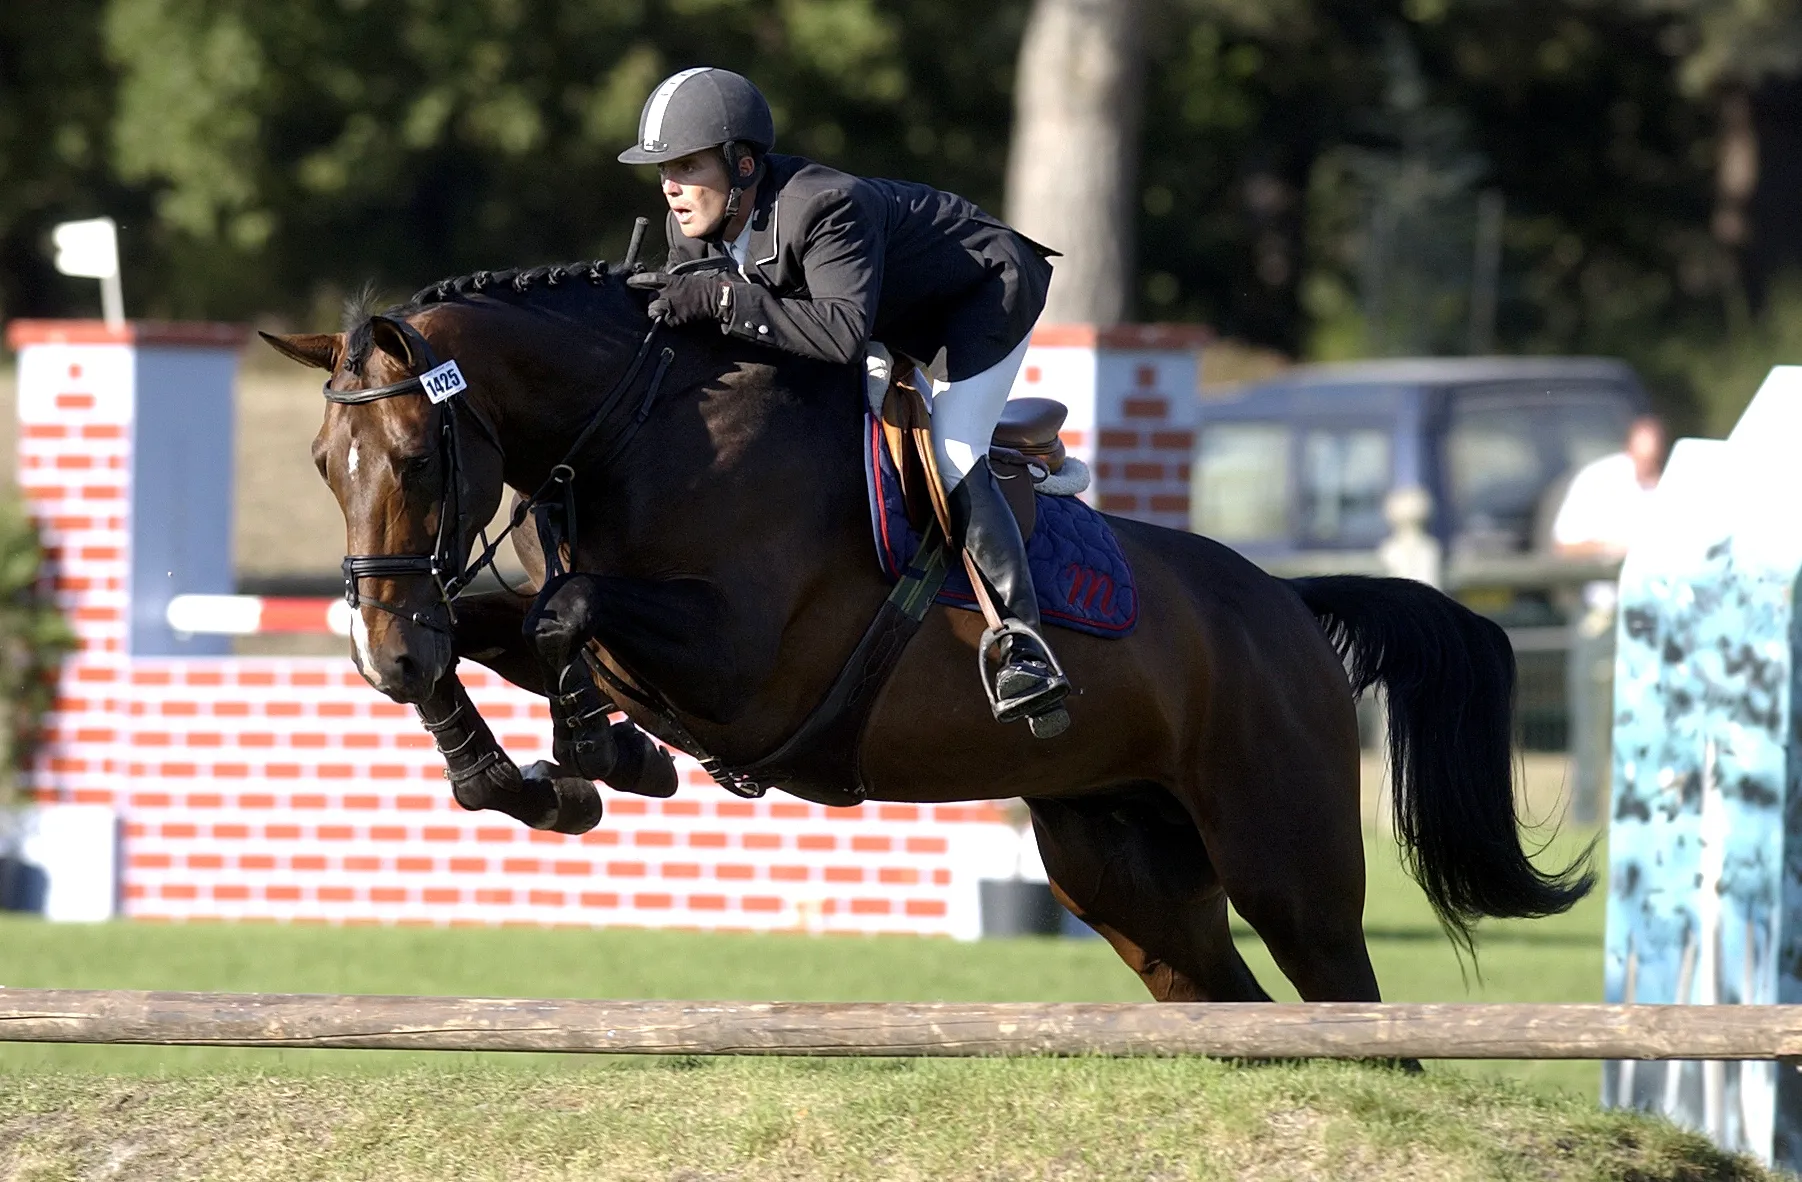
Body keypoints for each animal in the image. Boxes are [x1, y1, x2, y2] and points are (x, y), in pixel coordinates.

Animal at [261, 260, 1591, 1006]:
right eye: (323, 463)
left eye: (419, 456)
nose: (381, 653)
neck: (638, 429)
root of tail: (1285, 610)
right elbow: (510, 630)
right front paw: (521, 777)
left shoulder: (747, 664)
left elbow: (562, 611)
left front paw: (595, 757)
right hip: (1126, 873)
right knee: (1231, 999)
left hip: (1288, 863)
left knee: (1348, 998)